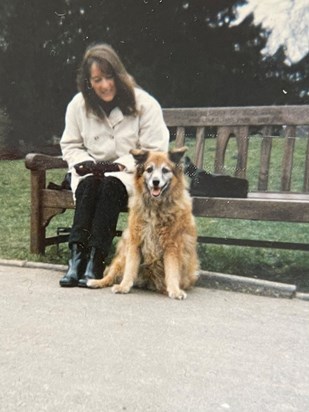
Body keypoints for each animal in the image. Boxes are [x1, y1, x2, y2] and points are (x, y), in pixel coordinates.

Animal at [86, 148, 199, 300]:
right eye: (149, 169)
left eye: (165, 170)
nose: (155, 182)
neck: (155, 208)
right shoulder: (135, 242)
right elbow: (130, 268)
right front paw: (123, 286)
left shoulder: (172, 246)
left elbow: (172, 270)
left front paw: (174, 290)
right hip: (122, 256)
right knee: (111, 274)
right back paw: (97, 282)